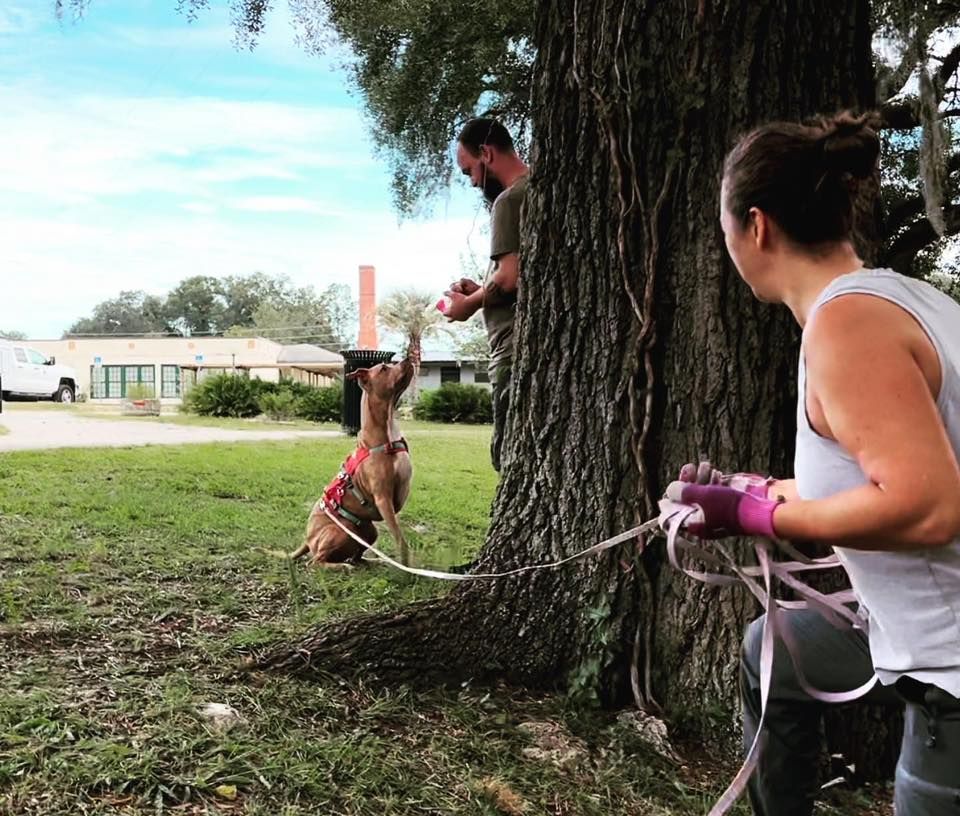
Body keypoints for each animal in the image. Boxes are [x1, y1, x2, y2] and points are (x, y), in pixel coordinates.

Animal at [290, 356, 414, 568]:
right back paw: (342, 566)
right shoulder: (383, 498)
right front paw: (406, 565)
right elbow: (400, 538)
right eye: (383, 368)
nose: (408, 358)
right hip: (338, 531)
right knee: (315, 562)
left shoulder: (400, 489)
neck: (386, 431)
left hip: (369, 531)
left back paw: (368, 561)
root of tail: (307, 540)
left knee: (357, 553)